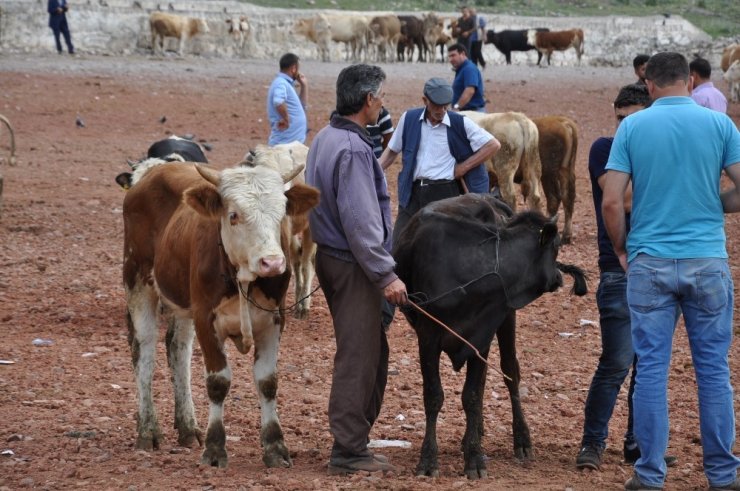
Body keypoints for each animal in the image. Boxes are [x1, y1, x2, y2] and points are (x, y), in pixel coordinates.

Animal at [123, 162, 320, 468]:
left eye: (282, 213)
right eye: (233, 215)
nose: (272, 262)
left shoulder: (274, 321)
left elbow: (267, 382)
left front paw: (275, 447)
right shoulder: (206, 319)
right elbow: (218, 382)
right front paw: (215, 449)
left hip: (182, 303)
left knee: (177, 350)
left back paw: (188, 428)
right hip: (138, 281)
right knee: (144, 353)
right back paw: (148, 430)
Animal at [396, 194, 588, 478]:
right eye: (555, 248)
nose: (558, 277)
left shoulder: (482, 333)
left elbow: (473, 395)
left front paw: (474, 458)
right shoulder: (428, 337)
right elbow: (433, 395)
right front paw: (428, 459)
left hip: (507, 320)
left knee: (509, 371)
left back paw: (518, 439)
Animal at [532, 116, 580, 246]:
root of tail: (563, 122)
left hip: (548, 174)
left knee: (554, 198)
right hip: (565, 170)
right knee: (567, 197)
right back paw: (566, 236)